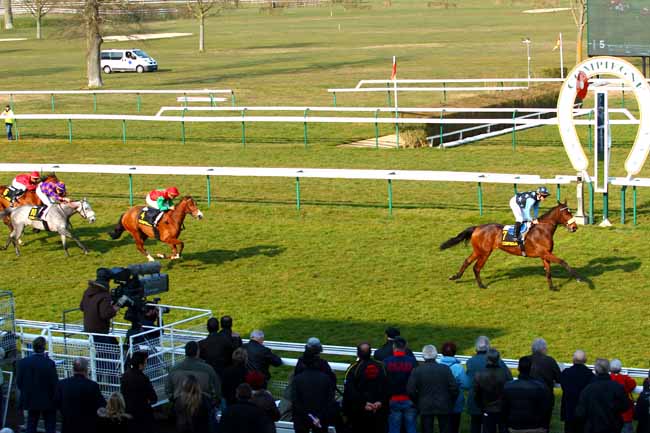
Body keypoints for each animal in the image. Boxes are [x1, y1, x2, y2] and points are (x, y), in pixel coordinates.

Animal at [440, 201, 582, 291]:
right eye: (567, 213)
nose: (574, 227)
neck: (542, 230)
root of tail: (477, 227)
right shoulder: (545, 253)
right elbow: (563, 262)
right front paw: (579, 278)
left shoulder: (544, 255)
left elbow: (548, 271)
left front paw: (552, 287)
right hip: (485, 252)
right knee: (476, 267)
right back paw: (481, 285)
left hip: (478, 250)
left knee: (467, 261)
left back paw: (456, 276)